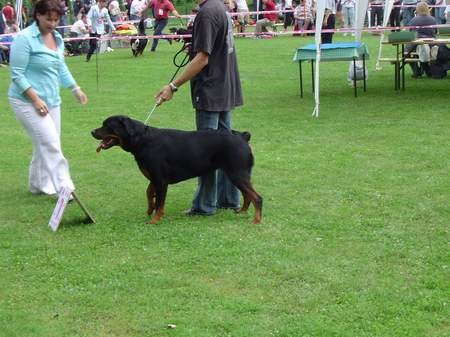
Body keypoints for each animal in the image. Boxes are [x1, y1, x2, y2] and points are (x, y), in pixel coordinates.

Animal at [90, 115, 260, 223]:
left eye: (107, 125)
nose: (92, 131)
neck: (142, 139)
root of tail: (242, 136)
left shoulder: (161, 180)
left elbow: (160, 202)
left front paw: (155, 219)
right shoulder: (154, 177)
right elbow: (149, 192)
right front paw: (150, 209)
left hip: (237, 173)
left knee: (256, 197)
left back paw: (256, 220)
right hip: (237, 174)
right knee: (247, 195)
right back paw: (242, 212)